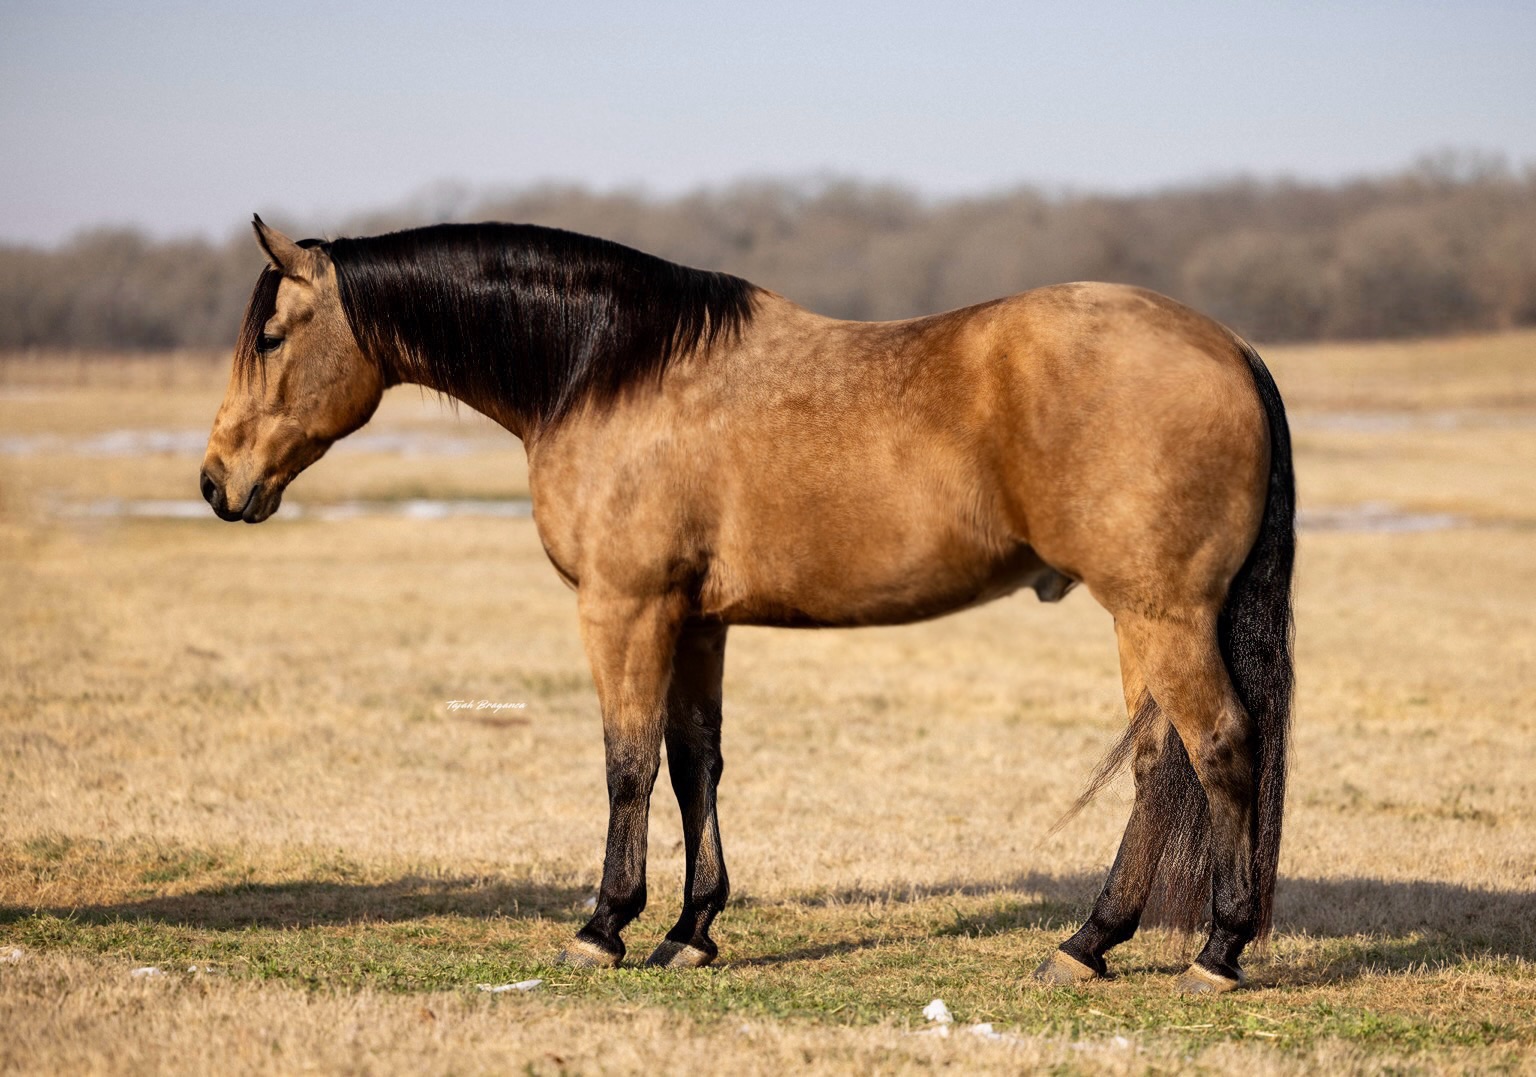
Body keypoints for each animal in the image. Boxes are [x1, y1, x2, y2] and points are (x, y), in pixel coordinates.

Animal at [201, 215, 1294, 993]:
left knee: (1223, 747)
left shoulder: (628, 607)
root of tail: (1232, 349)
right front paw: (691, 930)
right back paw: (1088, 943)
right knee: (1157, 765)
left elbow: (628, 762)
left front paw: (604, 925)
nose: (217, 483)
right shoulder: (698, 620)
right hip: (1141, 617)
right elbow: (696, 765)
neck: (608, 370)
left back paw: (1219, 951)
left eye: (271, 335)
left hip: (1160, 612)